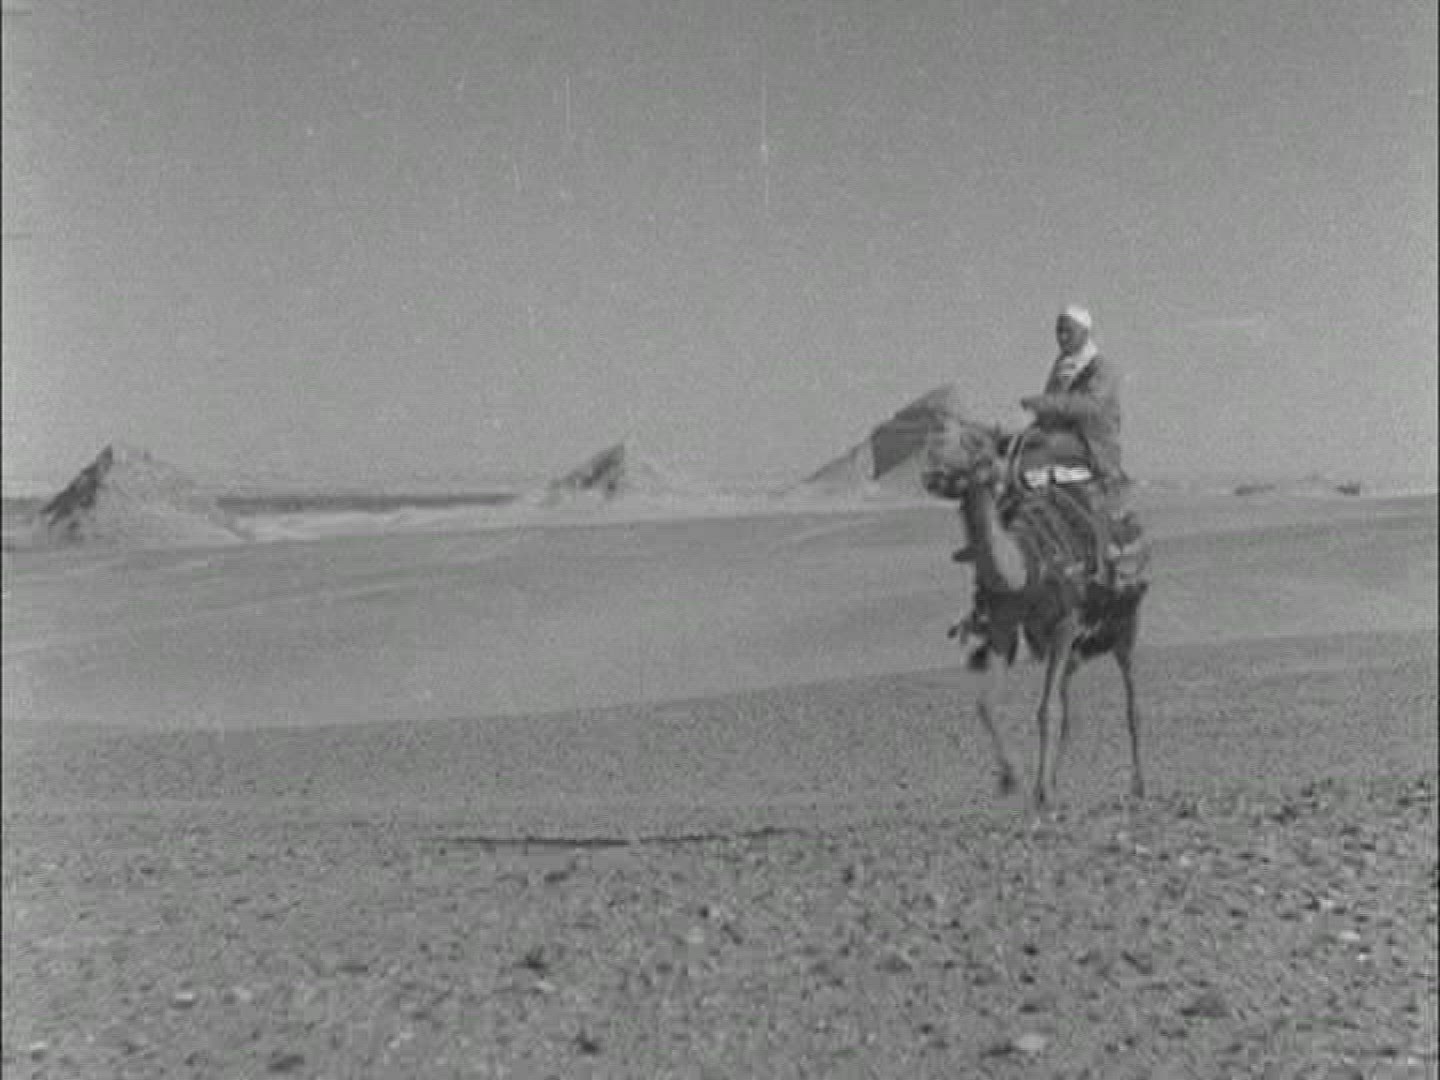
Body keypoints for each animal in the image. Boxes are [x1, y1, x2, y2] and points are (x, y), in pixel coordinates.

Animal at [921, 419, 1148, 807]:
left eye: (979, 449)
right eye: (938, 446)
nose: (934, 475)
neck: (1026, 569)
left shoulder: (1066, 622)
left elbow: (1046, 710)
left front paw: (1041, 794)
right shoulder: (1003, 626)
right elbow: (987, 704)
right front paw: (1011, 779)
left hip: (1124, 624)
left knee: (1130, 702)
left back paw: (1138, 785)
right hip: (1076, 650)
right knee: (1069, 705)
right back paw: (1057, 779)